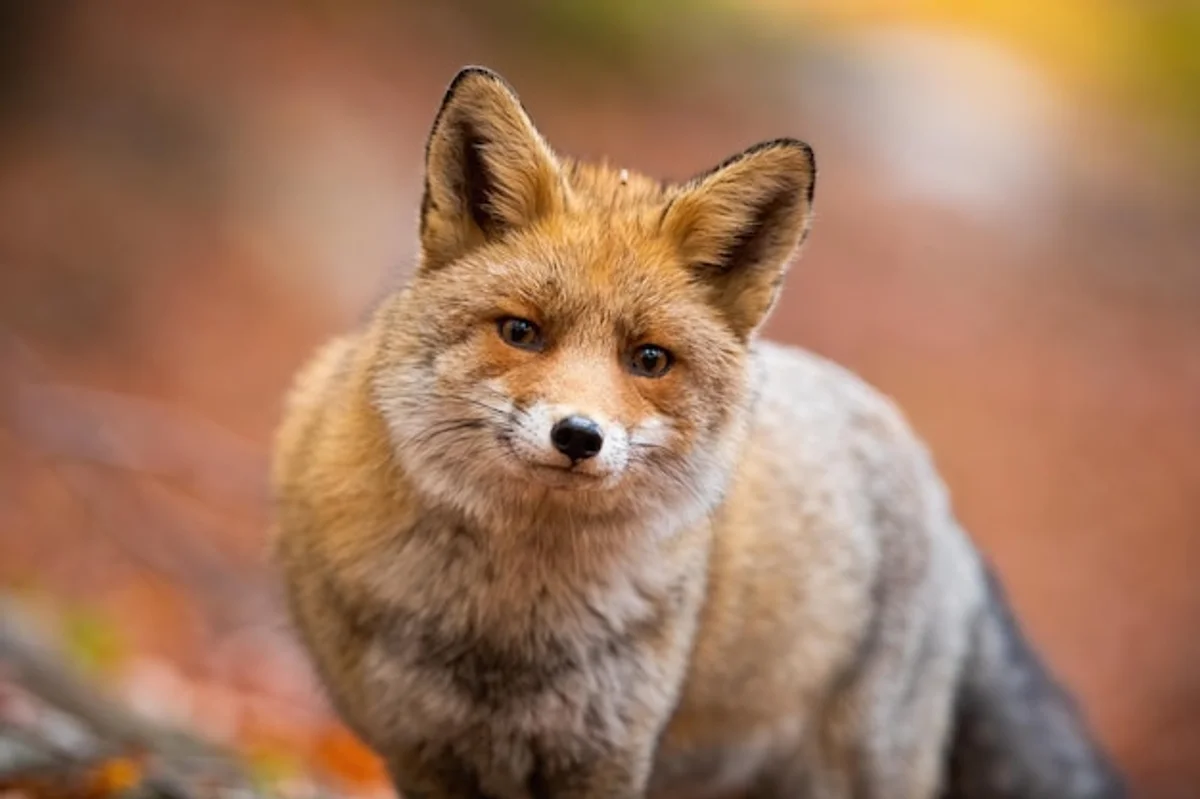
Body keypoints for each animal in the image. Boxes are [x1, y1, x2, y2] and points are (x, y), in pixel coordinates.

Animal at [269, 66, 1127, 799]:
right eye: (521, 331)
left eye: (649, 358)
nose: (578, 435)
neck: (504, 632)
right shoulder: (421, 750)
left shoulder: (606, 756)